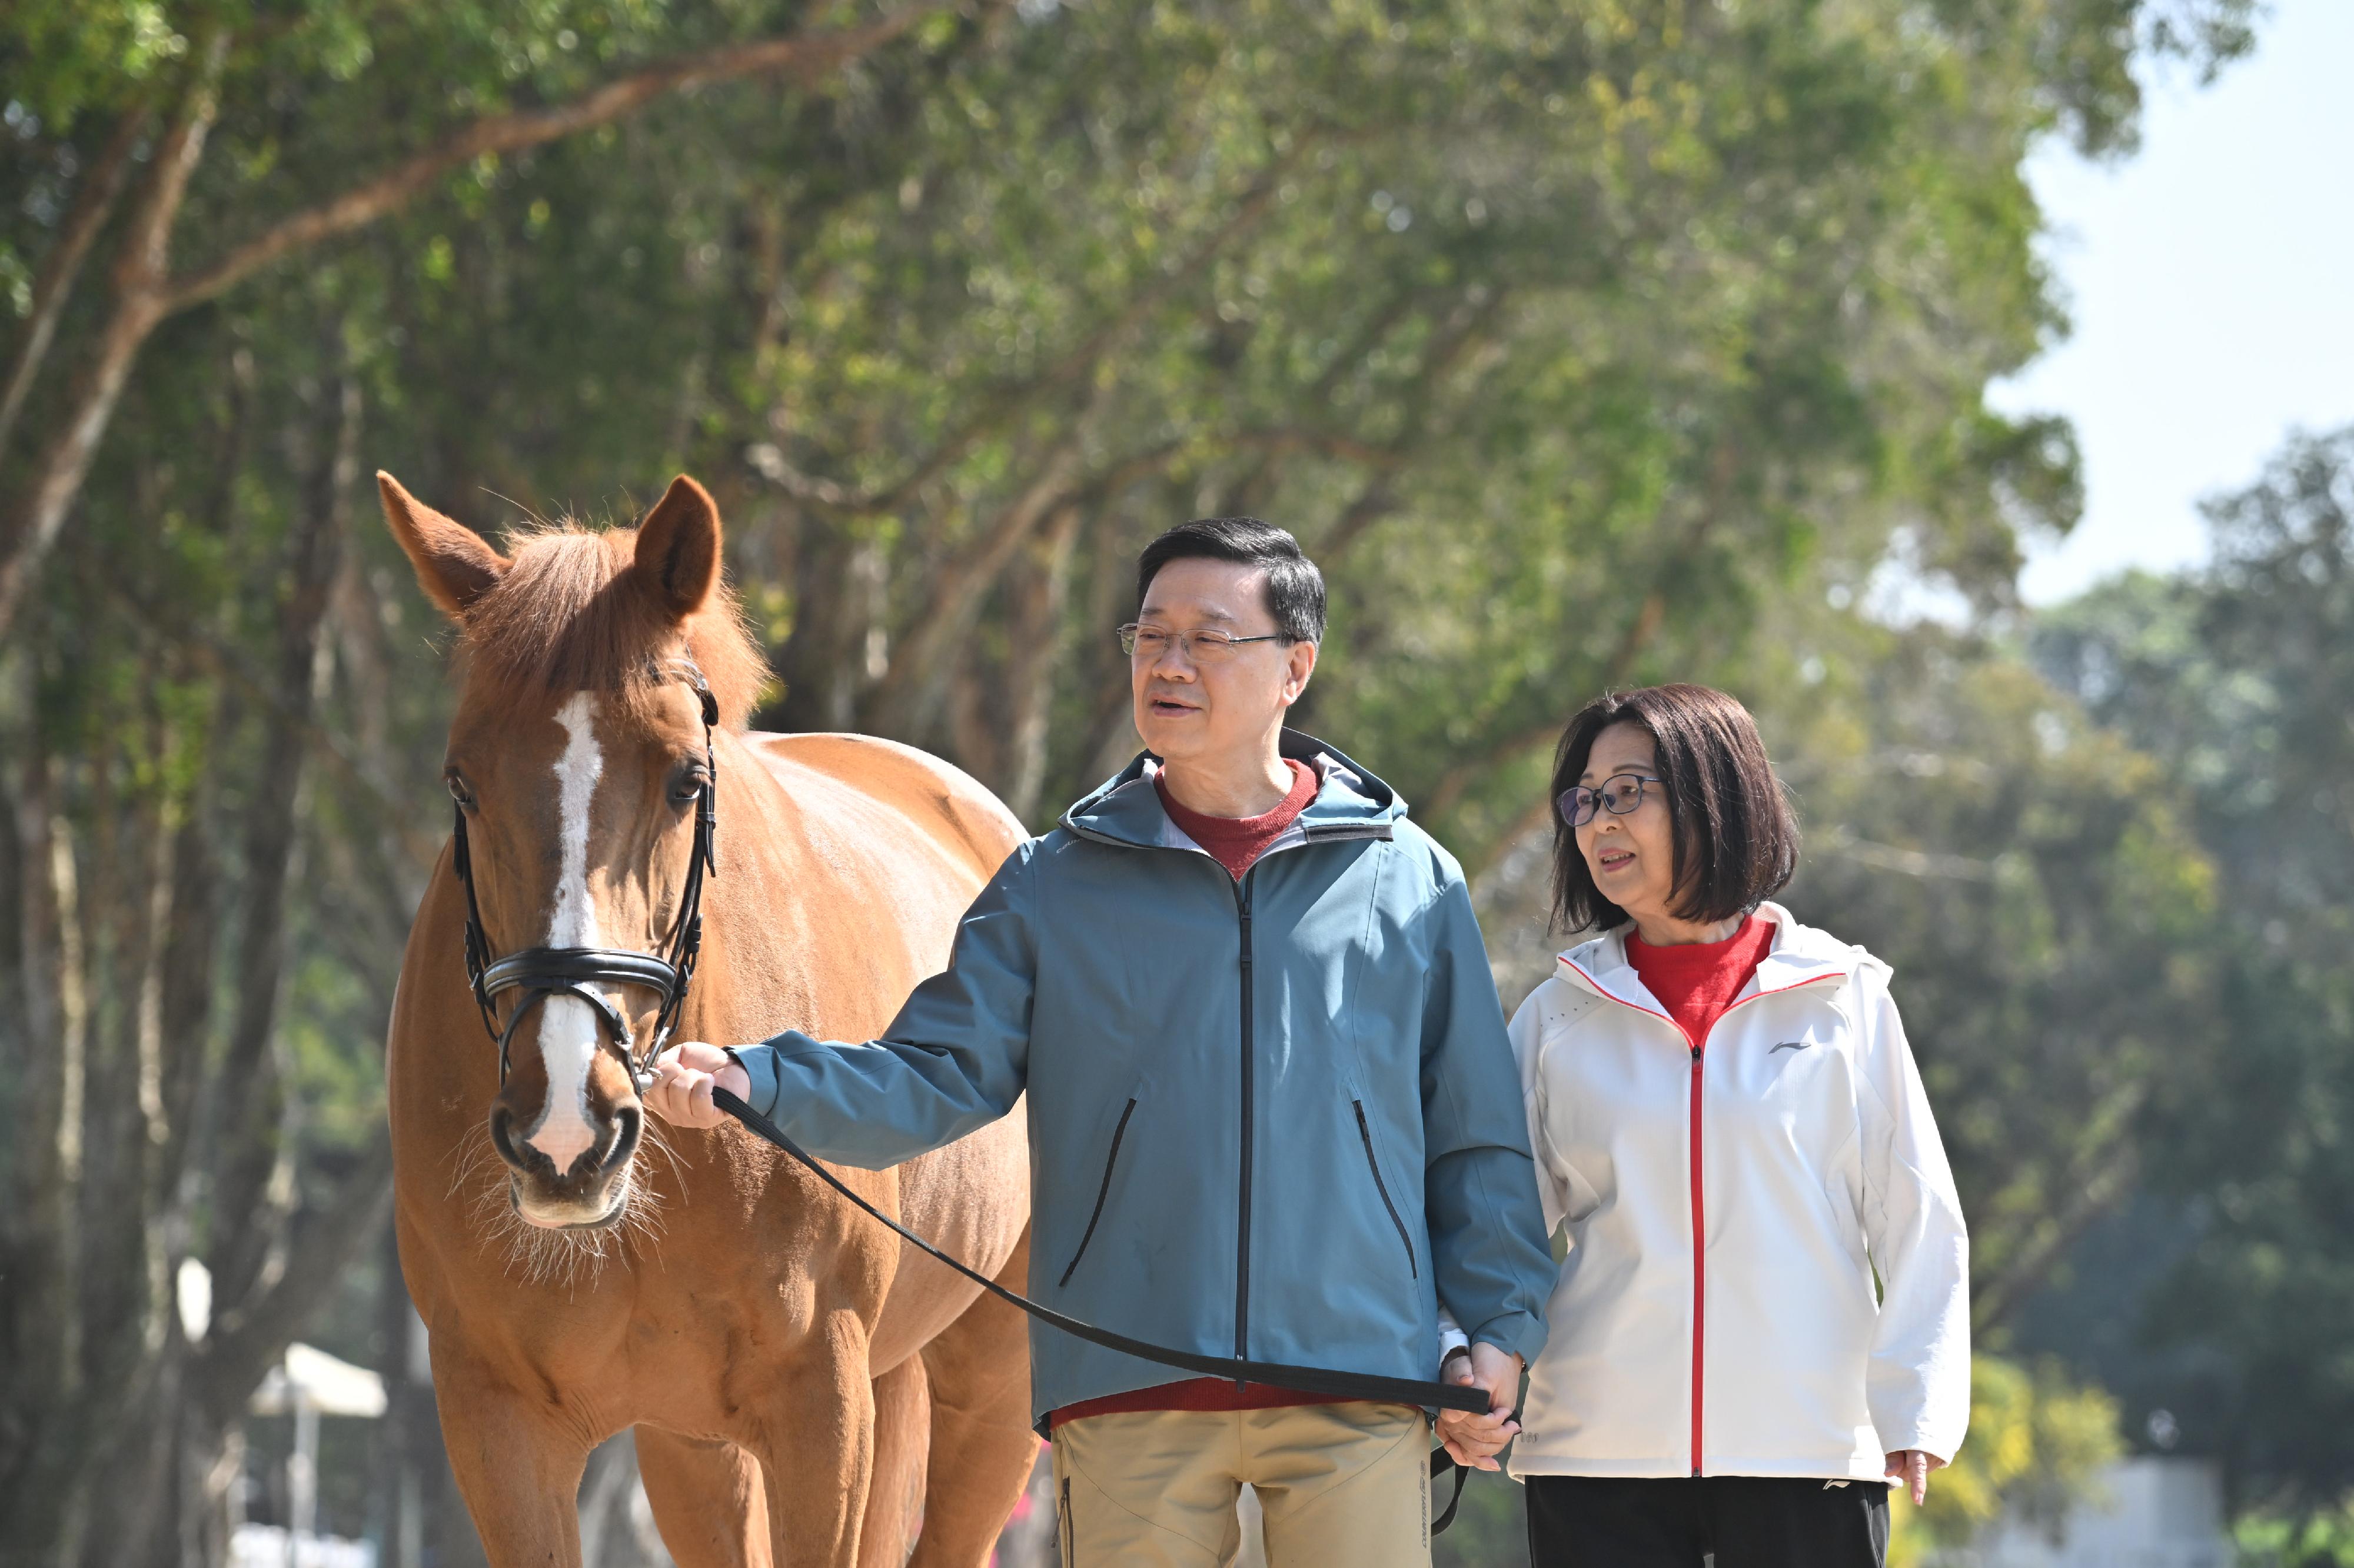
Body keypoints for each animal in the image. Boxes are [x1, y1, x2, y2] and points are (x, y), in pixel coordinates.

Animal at [376, 470, 1038, 1568]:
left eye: (689, 778)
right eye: (462, 781)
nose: (566, 1130)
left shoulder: (822, 1413)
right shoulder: (498, 1420)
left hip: (992, 1384)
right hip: (698, 1444)